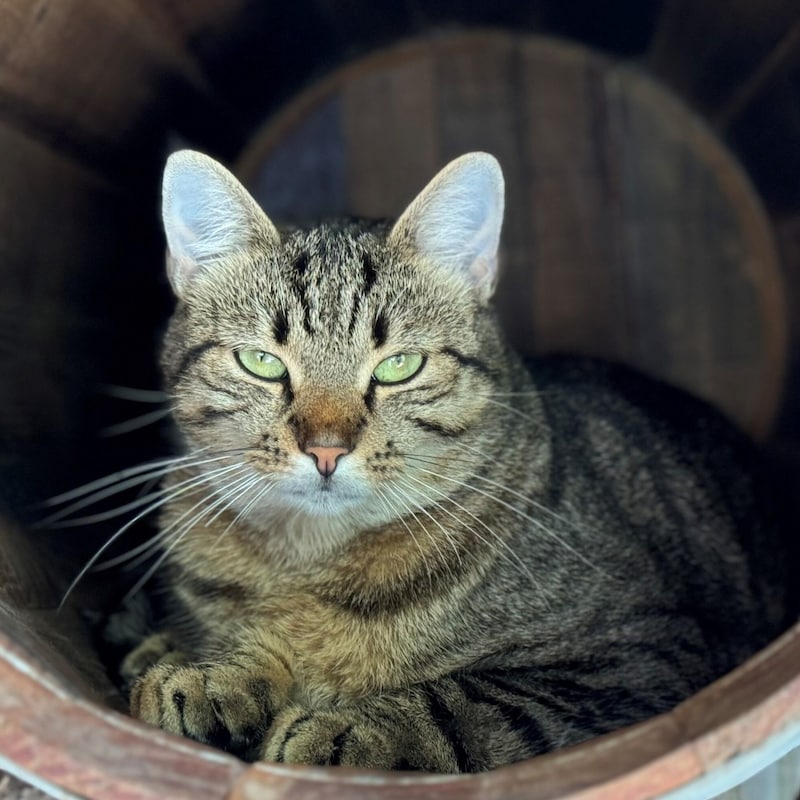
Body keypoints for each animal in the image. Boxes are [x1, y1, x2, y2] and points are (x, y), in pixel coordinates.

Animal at [122, 148, 792, 768]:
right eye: (261, 362)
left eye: (399, 366)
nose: (326, 449)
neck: (307, 562)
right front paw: (215, 673)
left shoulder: (639, 655)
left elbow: (463, 702)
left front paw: (349, 728)